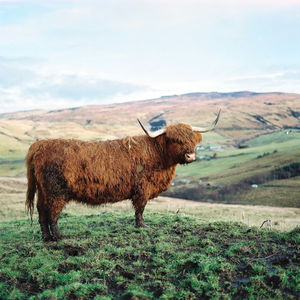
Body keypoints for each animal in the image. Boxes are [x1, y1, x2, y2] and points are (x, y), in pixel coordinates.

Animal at [25, 111, 220, 240]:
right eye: (175, 140)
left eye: (192, 139)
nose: (190, 156)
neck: (158, 154)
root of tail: (40, 145)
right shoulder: (142, 189)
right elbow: (140, 208)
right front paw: (142, 226)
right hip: (55, 191)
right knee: (52, 213)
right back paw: (58, 237)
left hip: (43, 190)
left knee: (41, 210)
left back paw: (46, 237)